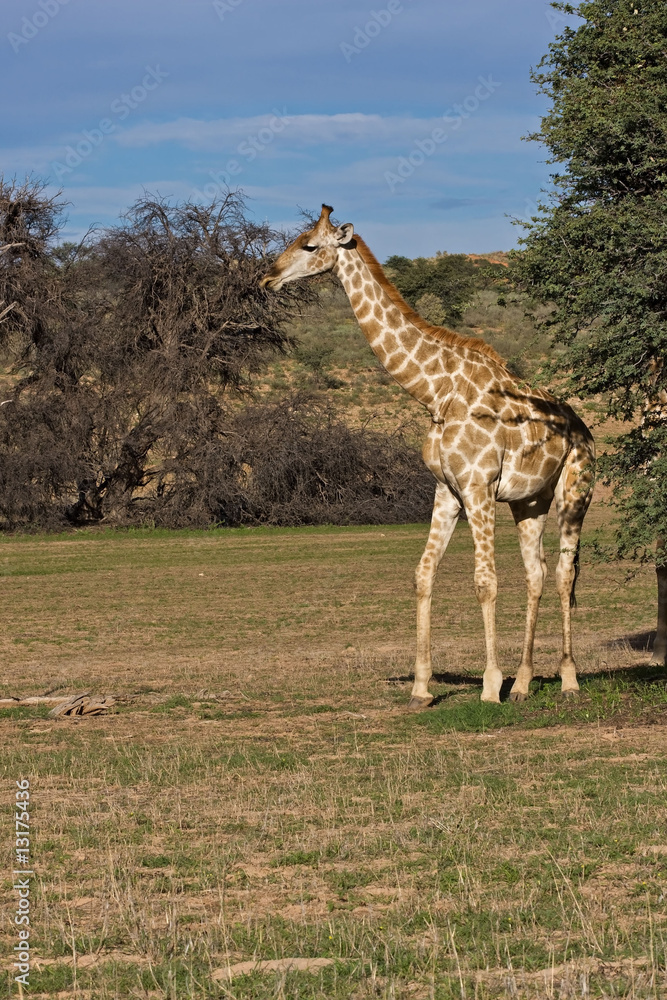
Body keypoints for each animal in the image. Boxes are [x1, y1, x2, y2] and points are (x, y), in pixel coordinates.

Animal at [261, 205, 595, 707]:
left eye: (309, 245)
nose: (268, 277)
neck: (436, 392)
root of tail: (584, 430)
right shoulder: (446, 490)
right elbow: (423, 574)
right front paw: (421, 687)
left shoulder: (478, 486)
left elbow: (484, 581)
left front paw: (488, 686)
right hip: (529, 501)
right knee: (535, 574)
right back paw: (523, 683)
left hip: (574, 493)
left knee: (563, 574)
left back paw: (567, 678)